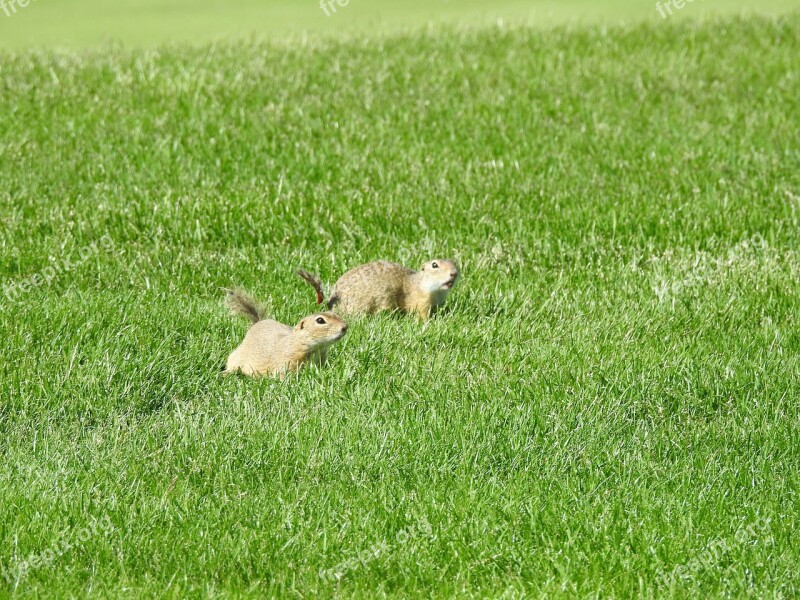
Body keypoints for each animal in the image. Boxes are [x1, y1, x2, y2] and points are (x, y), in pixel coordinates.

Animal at [296, 258, 460, 322]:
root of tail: (331, 303)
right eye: (434, 265)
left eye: (454, 262)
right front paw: (429, 322)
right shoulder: (421, 300)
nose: (454, 273)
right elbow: (422, 314)